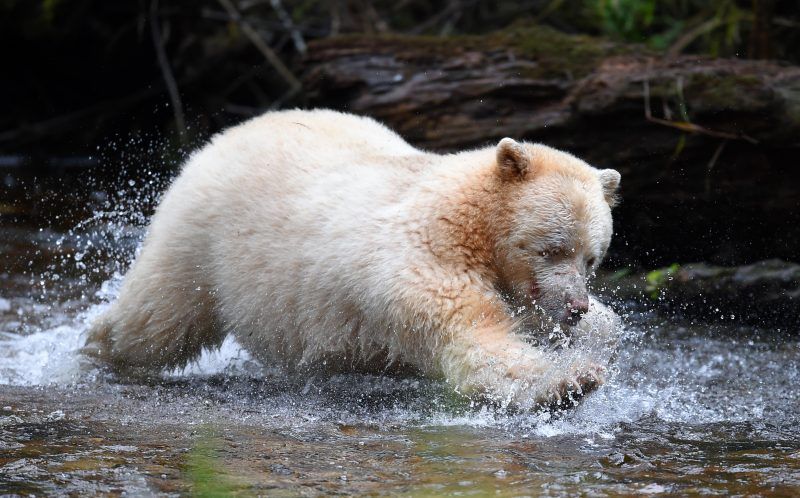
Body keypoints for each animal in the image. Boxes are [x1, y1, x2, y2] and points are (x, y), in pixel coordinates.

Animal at [87, 109, 624, 408]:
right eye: (551, 249)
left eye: (592, 259)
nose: (575, 306)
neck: (468, 222)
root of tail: (227, 135)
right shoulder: (422, 263)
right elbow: (475, 338)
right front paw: (570, 384)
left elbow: (592, 324)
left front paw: (594, 343)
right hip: (202, 237)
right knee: (158, 318)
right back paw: (95, 349)